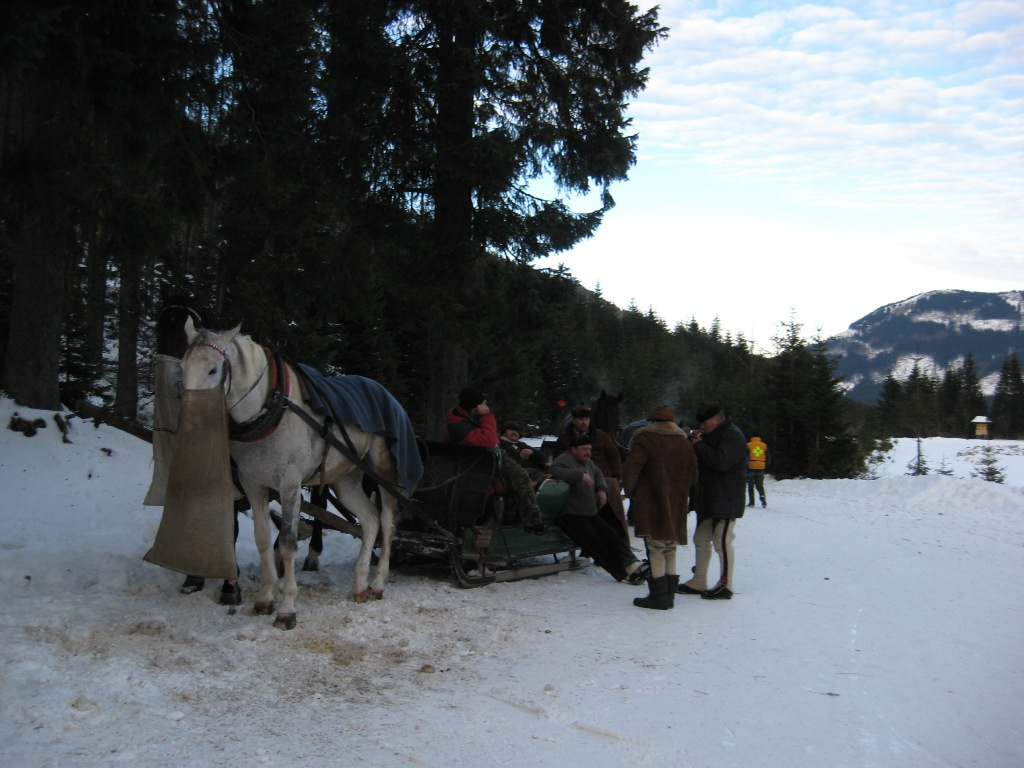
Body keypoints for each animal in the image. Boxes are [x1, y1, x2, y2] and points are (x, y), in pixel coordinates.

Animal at [181, 319, 415, 630]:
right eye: (182, 366)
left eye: (212, 369)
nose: (190, 421)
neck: (270, 407)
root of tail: (387, 393)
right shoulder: (253, 483)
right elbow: (262, 539)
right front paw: (265, 598)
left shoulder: (289, 484)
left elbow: (288, 543)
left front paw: (287, 608)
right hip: (345, 478)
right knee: (370, 520)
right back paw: (359, 585)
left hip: (383, 474)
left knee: (387, 523)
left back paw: (377, 582)